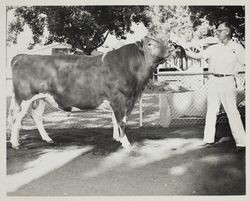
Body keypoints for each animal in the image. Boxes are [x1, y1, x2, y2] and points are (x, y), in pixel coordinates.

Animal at [7, 36, 172, 149]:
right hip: (24, 98)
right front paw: (126, 143)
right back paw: (15, 143)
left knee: (36, 116)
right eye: (150, 44)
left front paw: (117, 139)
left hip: (43, 98)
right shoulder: (120, 99)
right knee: (15, 118)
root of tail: (21, 56)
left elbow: (115, 120)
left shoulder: (118, 101)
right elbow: (121, 122)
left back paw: (47, 139)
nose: (170, 49)